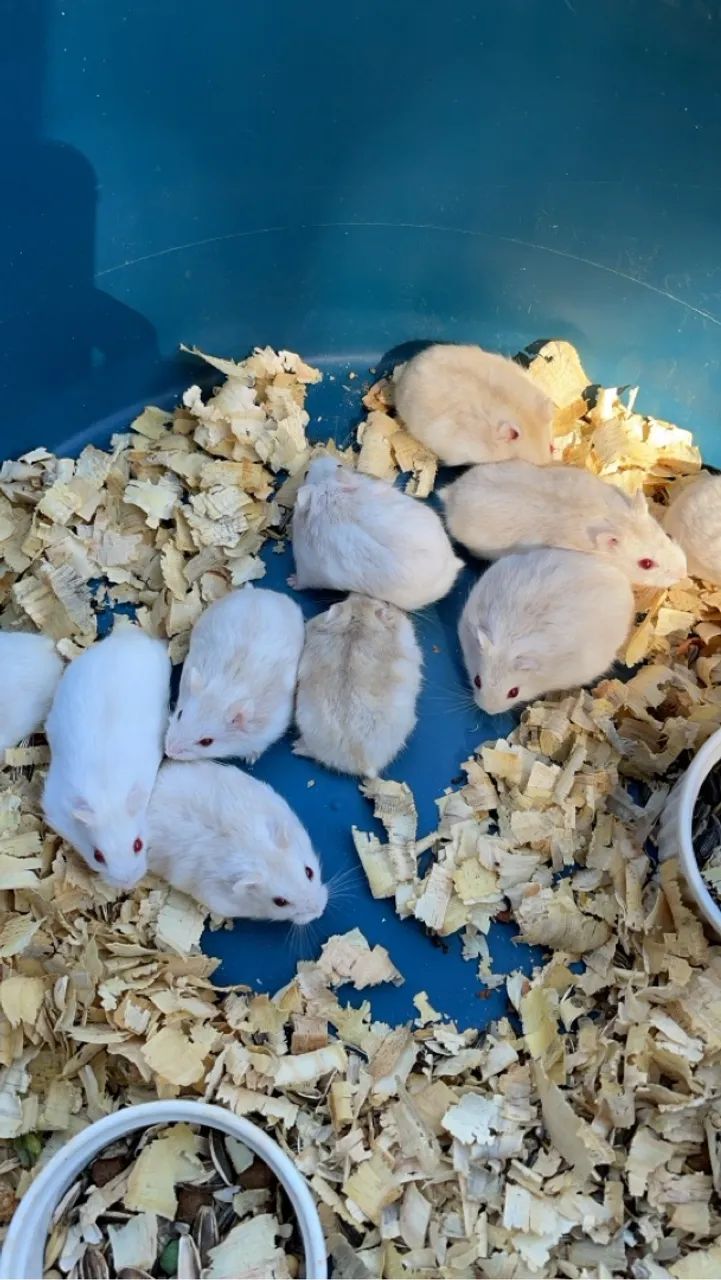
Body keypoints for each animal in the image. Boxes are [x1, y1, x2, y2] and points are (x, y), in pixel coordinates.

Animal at [165, 586, 305, 762]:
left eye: (206, 742)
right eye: (180, 714)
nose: (168, 752)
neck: (225, 691)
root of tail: (262, 592)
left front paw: (250, 758)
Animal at [291, 457, 463, 611]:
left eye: (305, 474)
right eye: (339, 465)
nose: (315, 459)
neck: (334, 498)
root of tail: (454, 563)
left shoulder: (306, 567)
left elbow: (302, 581)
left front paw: (290, 581)